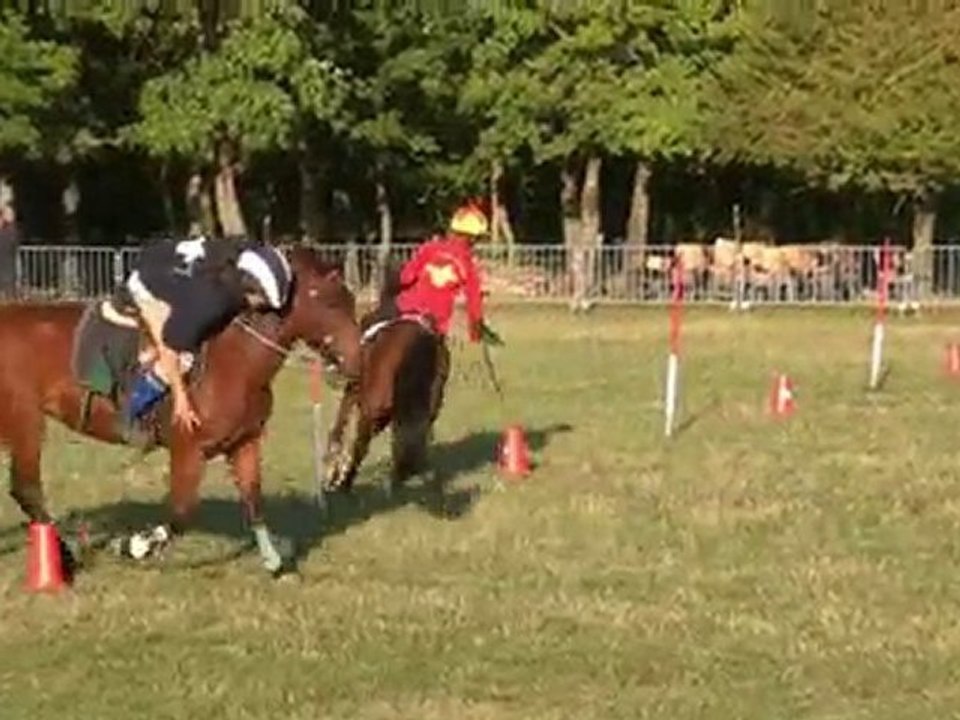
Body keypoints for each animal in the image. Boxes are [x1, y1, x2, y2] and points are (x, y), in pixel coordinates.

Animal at [0, 246, 362, 576]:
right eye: (331, 302)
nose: (356, 361)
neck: (238, 361)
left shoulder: (244, 443)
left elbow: (253, 501)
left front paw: (273, 559)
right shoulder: (187, 450)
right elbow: (182, 512)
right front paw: (134, 546)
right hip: (26, 419)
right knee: (26, 488)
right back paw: (64, 559)